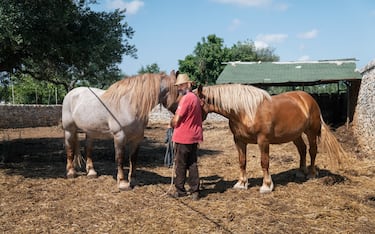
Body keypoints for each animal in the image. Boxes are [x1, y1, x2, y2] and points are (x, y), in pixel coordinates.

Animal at [197, 84, 346, 194]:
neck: (246, 111)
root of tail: (309, 99)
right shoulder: (239, 140)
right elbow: (242, 161)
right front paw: (242, 183)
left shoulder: (263, 141)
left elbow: (264, 162)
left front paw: (266, 186)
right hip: (295, 134)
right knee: (302, 149)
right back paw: (300, 172)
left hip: (311, 132)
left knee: (312, 151)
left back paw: (311, 173)